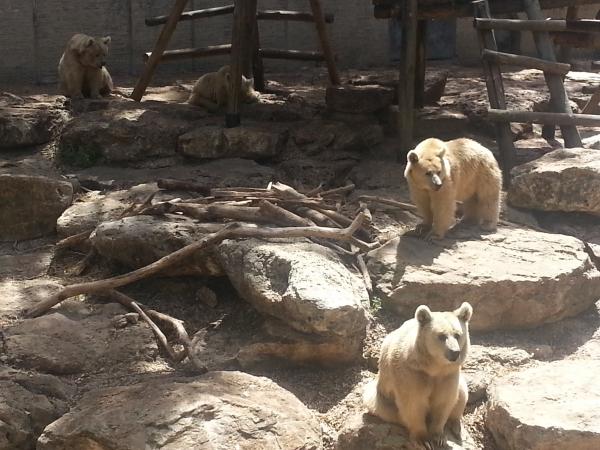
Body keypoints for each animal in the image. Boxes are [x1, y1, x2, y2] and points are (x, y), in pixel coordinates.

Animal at [360, 300, 474, 448]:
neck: (433, 367)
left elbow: (444, 401)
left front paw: (439, 436)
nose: (455, 352)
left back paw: (456, 426)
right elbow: (413, 403)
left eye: (458, 335)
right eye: (441, 336)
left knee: (462, 393)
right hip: (382, 398)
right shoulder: (411, 373)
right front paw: (423, 440)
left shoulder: (448, 374)